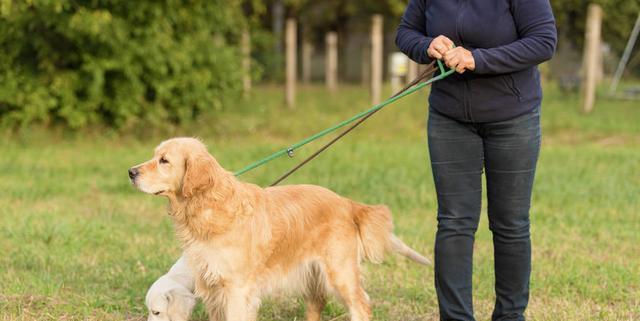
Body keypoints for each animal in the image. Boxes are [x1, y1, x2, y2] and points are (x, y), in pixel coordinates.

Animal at [130, 138, 430, 320]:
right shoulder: (212, 288)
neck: (210, 206)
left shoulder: (237, 290)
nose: (131, 172)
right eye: (154, 156)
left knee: (361, 306)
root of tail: (346, 202)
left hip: (340, 273)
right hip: (313, 276)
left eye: (164, 160)